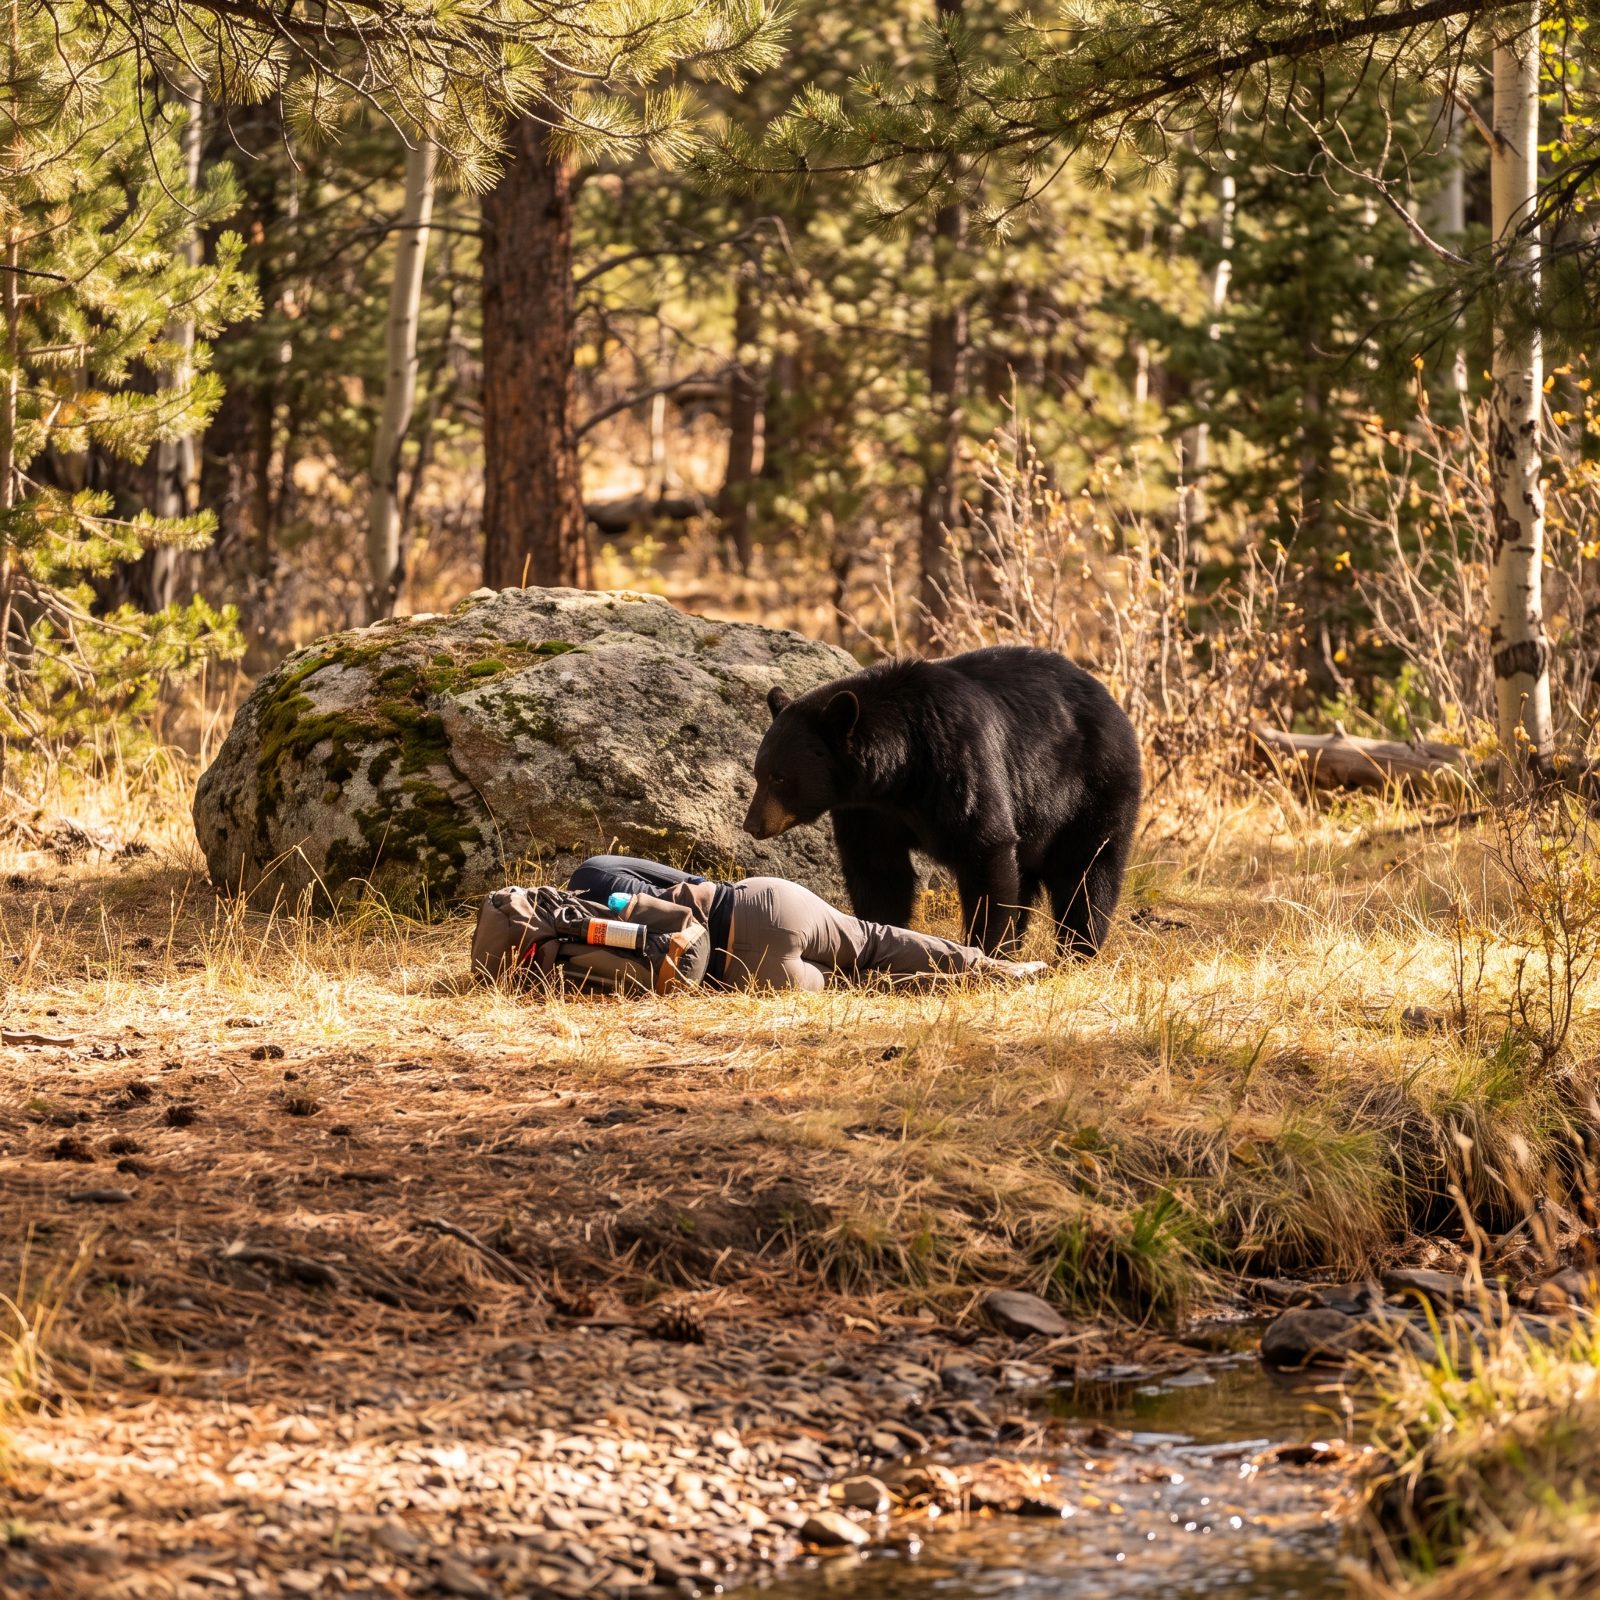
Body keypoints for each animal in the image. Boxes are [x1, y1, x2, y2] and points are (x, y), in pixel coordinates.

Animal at [742, 645, 1142, 957]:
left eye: (779, 777)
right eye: (758, 773)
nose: (752, 825)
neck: (898, 772)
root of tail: (1113, 703)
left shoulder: (957, 764)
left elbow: (986, 847)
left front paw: (987, 950)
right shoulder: (866, 810)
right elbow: (877, 870)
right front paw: (879, 932)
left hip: (1093, 789)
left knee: (1088, 873)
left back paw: (1077, 951)